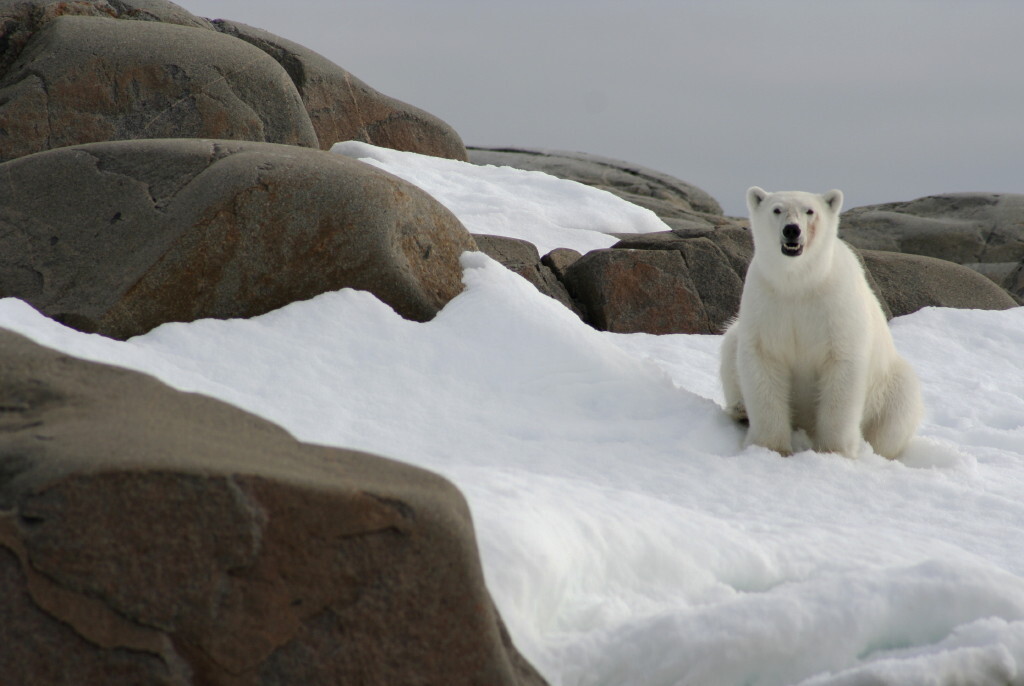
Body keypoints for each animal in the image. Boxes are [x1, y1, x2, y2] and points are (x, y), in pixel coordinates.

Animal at [719, 186, 923, 459]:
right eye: (777, 209)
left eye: (810, 211)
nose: (792, 230)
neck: (799, 282)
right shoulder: (767, 302)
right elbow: (763, 359)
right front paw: (769, 447)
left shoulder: (835, 308)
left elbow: (841, 368)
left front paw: (833, 451)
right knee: (731, 342)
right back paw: (740, 410)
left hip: (890, 384)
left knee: (897, 411)